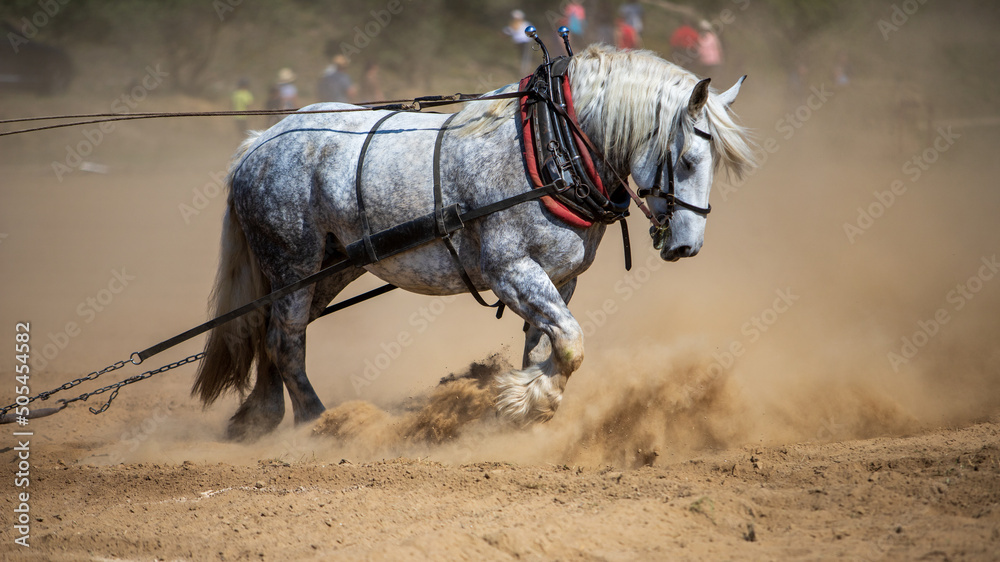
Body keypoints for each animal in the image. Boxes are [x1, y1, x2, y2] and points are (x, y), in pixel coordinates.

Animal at [192, 45, 756, 440]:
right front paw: (526, 400)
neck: (550, 146)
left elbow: (546, 344)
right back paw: (316, 424)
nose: (687, 247)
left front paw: (525, 401)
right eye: (688, 161)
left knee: (272, 333)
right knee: (285, 340)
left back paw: (259, 417)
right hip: (292, 263)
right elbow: (571, 343)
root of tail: (259, 143)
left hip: (331, 268)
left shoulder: (560, 280)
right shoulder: (511, 271)